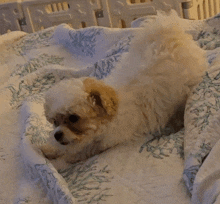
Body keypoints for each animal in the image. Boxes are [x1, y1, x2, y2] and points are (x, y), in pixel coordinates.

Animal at [41, 11, 208, 164]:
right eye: (55, 122)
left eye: (73, 118)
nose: (57, 134)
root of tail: (169, 32)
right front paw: (49, 148)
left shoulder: (101, 142)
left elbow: (76, 153)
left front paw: (61, 160)